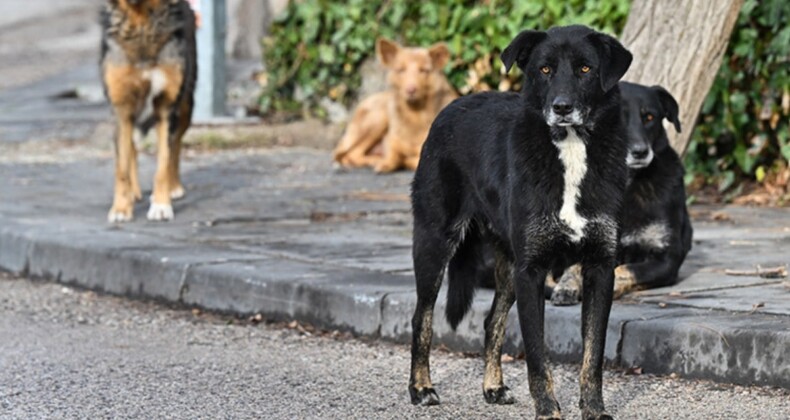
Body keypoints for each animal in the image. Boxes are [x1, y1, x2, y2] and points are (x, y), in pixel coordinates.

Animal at [101, 0, 197, 221]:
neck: (142, 23)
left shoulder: (166, 106)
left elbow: (163, 163)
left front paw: (161, 205)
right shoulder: (121, 108)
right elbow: (122, 167)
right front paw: (121, 208)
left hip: (186, 105)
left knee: (175, 145)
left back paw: (174, 186)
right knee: (132, 148)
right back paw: (133, 193)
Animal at [332, 38, 458, 172]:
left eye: (423, 70)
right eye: (401, 70)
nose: (410, 90)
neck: (415, 115)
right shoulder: (392, 141)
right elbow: (394, 155)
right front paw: (388, 162)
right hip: (378, 118)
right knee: (350, 154)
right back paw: (374, 160)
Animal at [412, 26, 636, 420]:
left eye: (585, 69)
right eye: (545, 69)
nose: (561, 108)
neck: (571, 149)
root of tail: (452, 106)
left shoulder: (599, 269)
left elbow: (593, 355)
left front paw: (593, 410)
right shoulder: (531, 271)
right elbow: (535, 354)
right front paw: (547, 410)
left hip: (508, 262)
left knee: (491, 321)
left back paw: (493, 386)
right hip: (435, 242)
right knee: (421, 317)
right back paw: (421, 388)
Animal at [552, 82, 692, 306]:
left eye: (649, 117)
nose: (640, 152)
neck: (627, 184)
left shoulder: (667, 258)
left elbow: (624, 270)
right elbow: (573, 267)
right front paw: (567, 286)